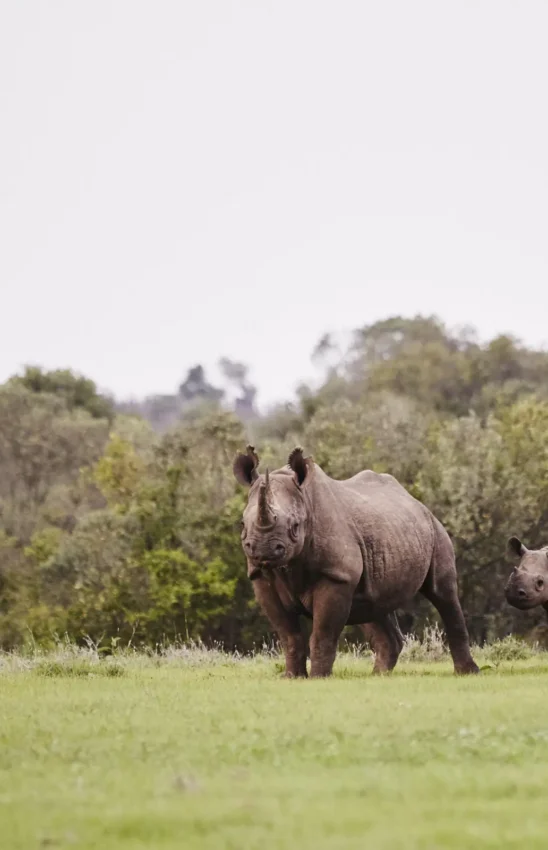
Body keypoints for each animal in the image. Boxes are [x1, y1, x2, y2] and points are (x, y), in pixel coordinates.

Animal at [233, 446, 479, 678]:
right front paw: (292, 677)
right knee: (373, 605)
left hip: (435, 528)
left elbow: (322, 633)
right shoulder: (261, 577)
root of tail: (417, 502)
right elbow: (289, 636)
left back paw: (467, 672)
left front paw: (318, 678)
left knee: (443, 593)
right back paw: (379, 676)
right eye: (243, 524)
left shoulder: (336, 576)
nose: (262, 549)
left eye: (294, 527)